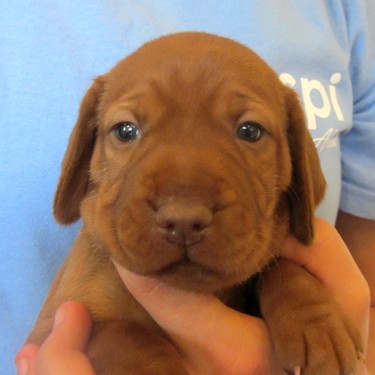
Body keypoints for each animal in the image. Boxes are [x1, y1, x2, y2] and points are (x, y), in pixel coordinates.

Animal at [27, 33, 362, 375]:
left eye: (250, 131)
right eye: (126, 130)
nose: (183, 220)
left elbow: (282, 266)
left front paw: (318, 324)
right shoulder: (56, 323)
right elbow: (129, 340)